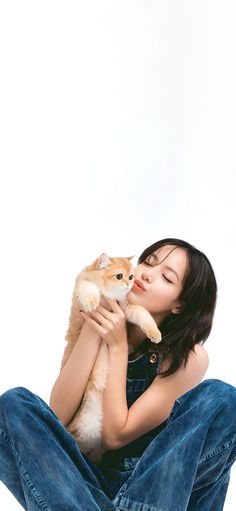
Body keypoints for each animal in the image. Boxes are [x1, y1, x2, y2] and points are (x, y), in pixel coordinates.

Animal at [60, 253, 162, 464]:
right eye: (119, 276)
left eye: (131, 277)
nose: (129, 284)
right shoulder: (83, 283)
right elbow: (89, 290)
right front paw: (93, 303)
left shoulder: (127, 308)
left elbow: (143, 314)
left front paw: (155, 333)